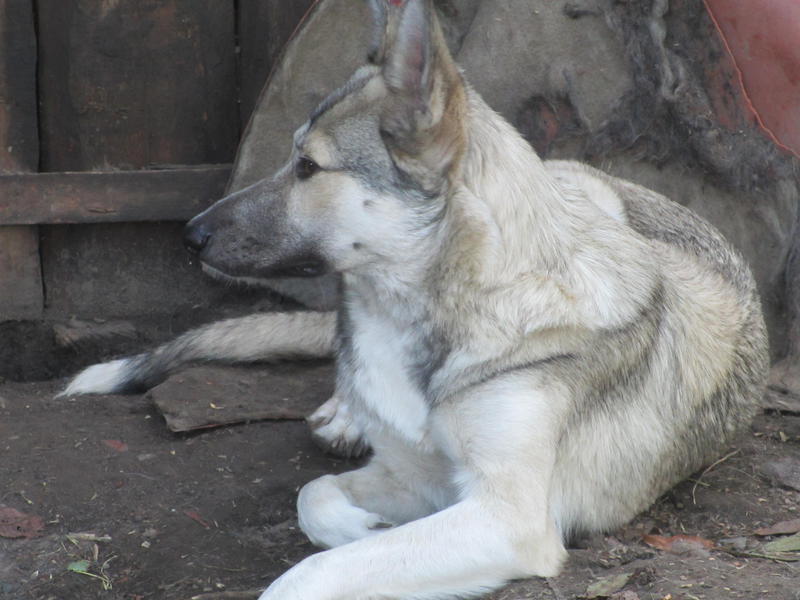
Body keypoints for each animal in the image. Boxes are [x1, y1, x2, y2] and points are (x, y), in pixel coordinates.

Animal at [65, 2, 772, 596]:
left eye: (307, 167)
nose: (189, 236)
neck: (428, 309)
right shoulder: (414, 480)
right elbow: (314, 495)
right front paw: (358, 524)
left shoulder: (505, 519)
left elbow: (308, 572)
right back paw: (344, 414)